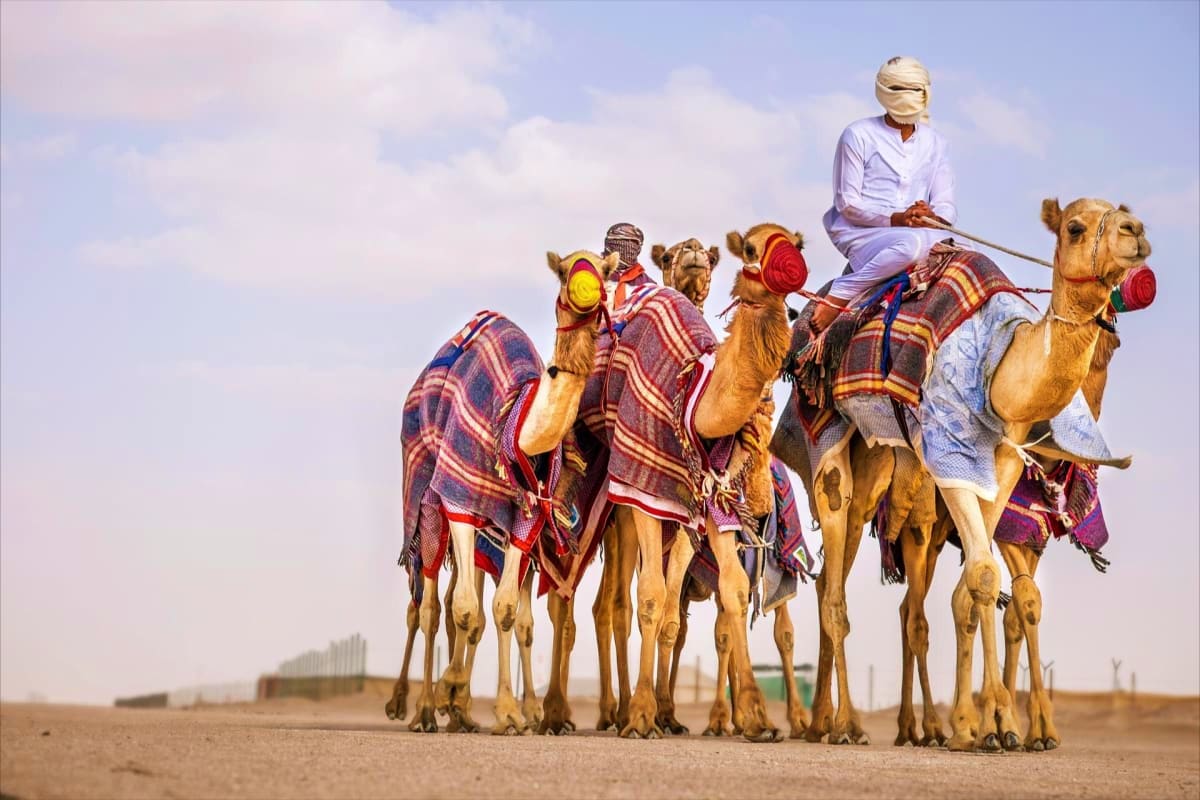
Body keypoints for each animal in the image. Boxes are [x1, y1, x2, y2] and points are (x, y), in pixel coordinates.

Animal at [397, 249, 618, 734]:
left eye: (602, 268)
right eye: (565, 269)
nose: (588, 291)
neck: (515, 421)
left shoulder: (526, 516)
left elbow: (503, 610)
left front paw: (509, 712)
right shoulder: (461, 499)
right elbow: (465, 609)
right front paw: (452, 691)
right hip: (427, 497)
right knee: (429, 606)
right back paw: (422, 709)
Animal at [540, 224, 807, 741]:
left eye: (796, 244)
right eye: (749, 248)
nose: (695, 256)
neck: (694, 388)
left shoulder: (709, 504)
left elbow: (721, 599)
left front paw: (752, 715)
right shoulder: (646, 490)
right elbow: (649, 599)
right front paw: (644, 713)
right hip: (601, 499)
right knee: (586, 601)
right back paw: (566, 711)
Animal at [772, 198, 1149, 752]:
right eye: (1076, 227)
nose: (1135, 231)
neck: (1000, 364)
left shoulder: (1006, 472)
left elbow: (994, 591)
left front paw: (1002, 724)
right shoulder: (953, 455)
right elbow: (987, 581)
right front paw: (989, 724)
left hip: (897, 499)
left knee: (874, 598)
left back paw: (859, 723)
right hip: (830, 450)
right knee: (835, 591)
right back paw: (845, 725)